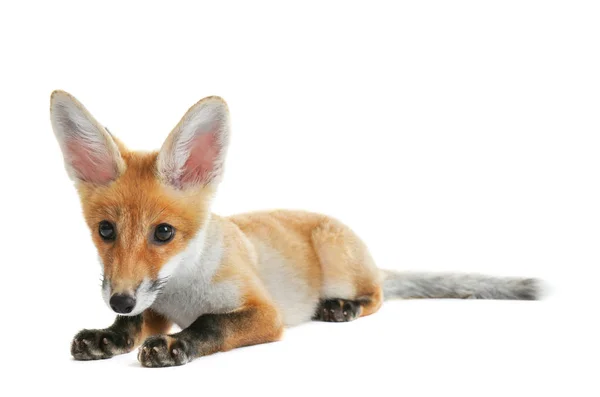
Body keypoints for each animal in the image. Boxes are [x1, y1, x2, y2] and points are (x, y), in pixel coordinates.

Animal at [49, 90, 540, 368]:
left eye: (164, 233)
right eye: (106, 231)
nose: (119, 297)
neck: (184, 292)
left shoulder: (265, 313)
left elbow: (211, 324)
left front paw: (175, 346)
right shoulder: (153, 303)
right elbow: (132, 325)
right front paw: (107, 336)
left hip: (340, 262)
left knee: (378, 295)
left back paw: (343, 307)